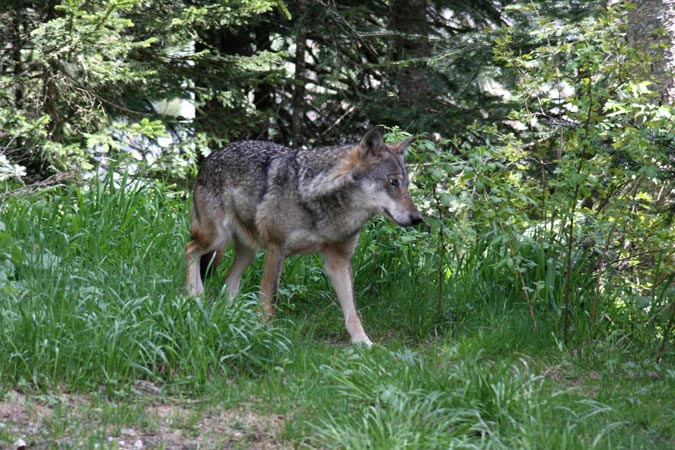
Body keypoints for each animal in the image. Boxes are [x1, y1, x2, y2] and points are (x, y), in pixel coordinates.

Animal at [185, 127, 423, 346]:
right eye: (392, 182)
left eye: (406, 185)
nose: (418, 218)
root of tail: (212, 155)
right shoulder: (277, 248)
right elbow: (269, 299)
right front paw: (263, 333)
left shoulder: (339, 261)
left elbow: (352, 311)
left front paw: (364, 343)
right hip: (217, 238)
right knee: (190, 250)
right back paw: (195, 295)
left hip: (248, 251)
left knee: (229, 279)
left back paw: (233, 316)